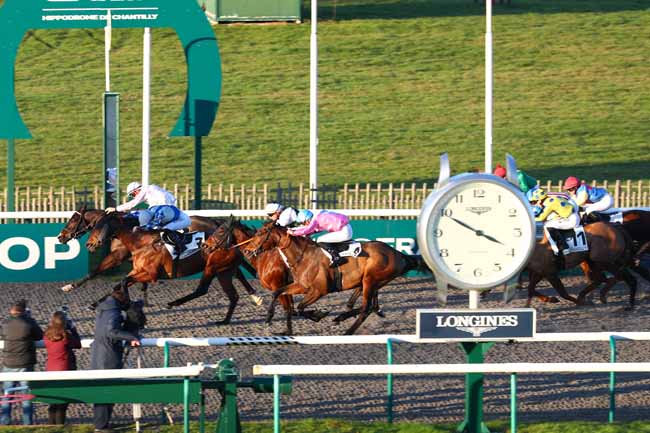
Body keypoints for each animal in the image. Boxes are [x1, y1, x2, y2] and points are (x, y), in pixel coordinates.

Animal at [85, 211, 260, 322]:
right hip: (223, 270)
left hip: (212, 267)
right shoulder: (137, 270)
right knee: (233, 293)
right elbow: (119, 284)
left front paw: (127, 303)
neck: (141, 242)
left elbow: (122, 282)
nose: (89, 244)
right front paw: (96, 304)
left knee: (202, 290)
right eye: (93, 225)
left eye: (98, 226)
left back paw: (173, 303)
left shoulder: (151, 275)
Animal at [240, 223, 422, 334]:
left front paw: (318, 314)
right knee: (371, 306)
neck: (303, 256)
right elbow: (278, 293)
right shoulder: (300, 285)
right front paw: (269, 317)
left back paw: (348, 331)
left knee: (366, 308)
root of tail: (398, 254)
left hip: (370, 281)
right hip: (370, 282)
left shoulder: (319, 290)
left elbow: (299, 307)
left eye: (261, 233)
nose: (247, 250)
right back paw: (342, 317)